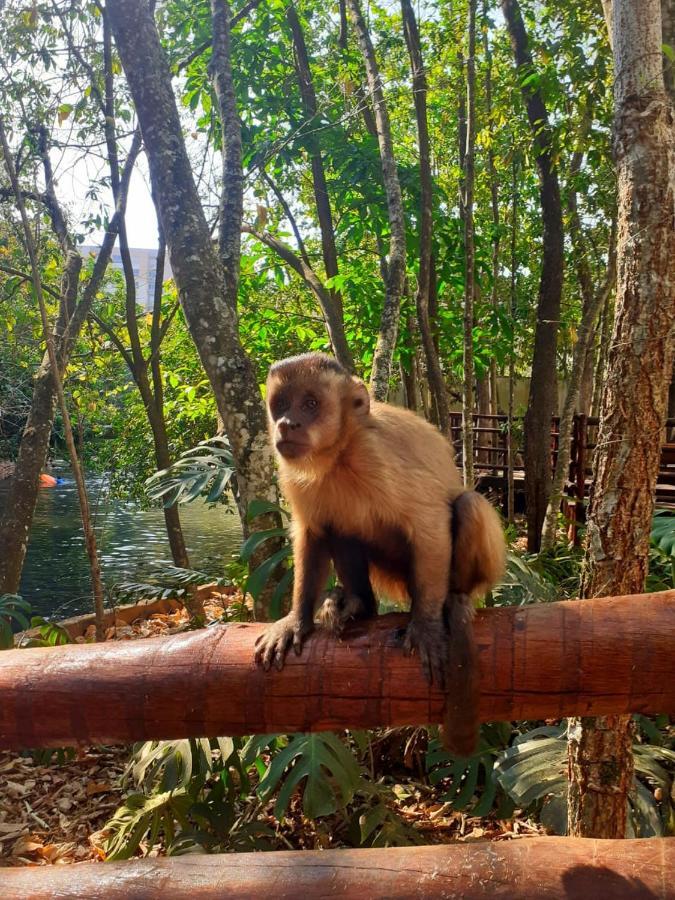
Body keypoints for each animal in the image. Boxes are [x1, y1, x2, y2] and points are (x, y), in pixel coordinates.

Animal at [256, 352, 504, 752]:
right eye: (280, 404)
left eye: (310, 404)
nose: (287, 423)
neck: (340, 454)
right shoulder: (294, 475)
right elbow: (313, 533)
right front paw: (296, 620)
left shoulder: (377, 457)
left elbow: (429, 521)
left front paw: (426, 626)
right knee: (339, 526)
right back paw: (358, 604)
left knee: (467, 506)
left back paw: (455, 596)